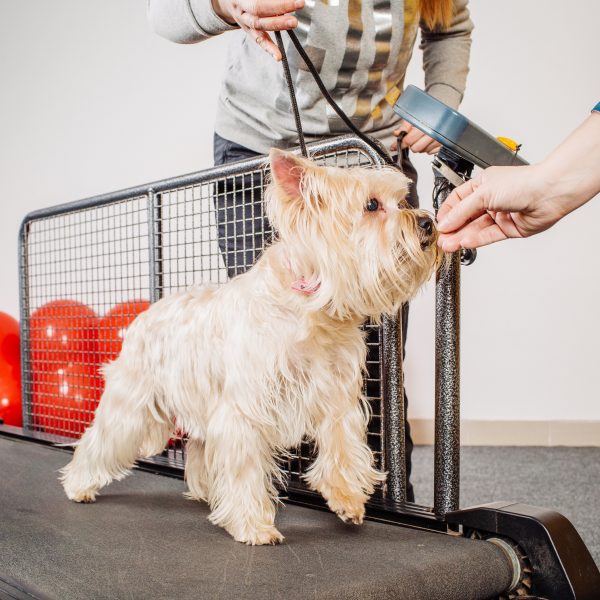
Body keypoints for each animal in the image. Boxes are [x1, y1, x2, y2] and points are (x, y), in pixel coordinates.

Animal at [61, 149, 438, 544]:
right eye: (371, 205)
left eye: (402, 201)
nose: (428, 223)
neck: (309, 301)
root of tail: (145, 315)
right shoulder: (246, 409)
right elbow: (245, 468)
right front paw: (253, 525)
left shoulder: (336, 393)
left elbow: (342, 444)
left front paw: (347, 498)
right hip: (132, 404)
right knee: (99, 440)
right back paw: (78, 485)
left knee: (200, 450)